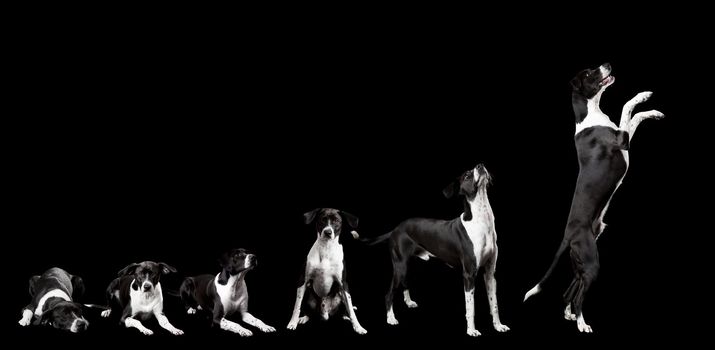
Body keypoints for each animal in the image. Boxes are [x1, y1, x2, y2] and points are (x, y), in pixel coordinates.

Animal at [356, 165, 512, 338]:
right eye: (467, 175)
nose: (480, 165)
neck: (481, 221)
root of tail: (396, 229)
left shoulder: (490, 273)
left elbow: (494, 304)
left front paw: (498, 326)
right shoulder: (469, 275)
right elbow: (470, 307)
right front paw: (471, 330)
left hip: (405, 266)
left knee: (405, 282)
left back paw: (409, 302)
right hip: (399, 266)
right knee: (388, 293)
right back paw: (391, 318)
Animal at [524, 63, 668, 334]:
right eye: (590, 73)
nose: (607, 64)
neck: (590, 115)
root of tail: (567, 235)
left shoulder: (624, 136)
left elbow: (633, 115)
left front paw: (651, 108)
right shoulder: (622, 139)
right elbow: (627, 109)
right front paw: (643, 99)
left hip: (582, 264)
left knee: (571, 289)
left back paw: (570, 315)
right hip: (591, 262)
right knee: (579, 294)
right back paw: (582, 323)